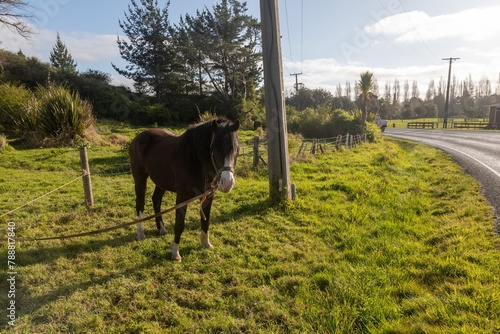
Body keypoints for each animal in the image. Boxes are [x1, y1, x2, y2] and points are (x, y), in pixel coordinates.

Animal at [128, 117, 239, 260]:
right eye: (214, 149)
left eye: (236, 149)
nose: (227, 183)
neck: (195, 160)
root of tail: (138, 137)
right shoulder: (182, 196)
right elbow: (179, 224)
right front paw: (175, 253)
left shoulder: (208, 196)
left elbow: (206, 221)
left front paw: (206, 243)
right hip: (140, 178)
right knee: (140, 203)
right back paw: (140, 233)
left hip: (162, 181)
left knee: (156, 199)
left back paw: (161, 228)